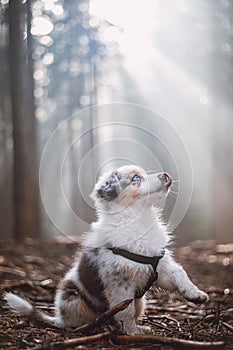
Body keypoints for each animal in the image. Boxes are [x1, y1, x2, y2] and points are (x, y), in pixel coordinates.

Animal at [4, 165, 208, 334]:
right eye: (136, 178)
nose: (166, 175)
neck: (137, 219)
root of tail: (59, 317)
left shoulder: (160, 265)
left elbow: (180, 273)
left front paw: (196, 294)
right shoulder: (119, 284)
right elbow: (126, 312)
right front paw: (132, 334)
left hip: (141, 300)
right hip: (72, 298)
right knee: (82, 321)